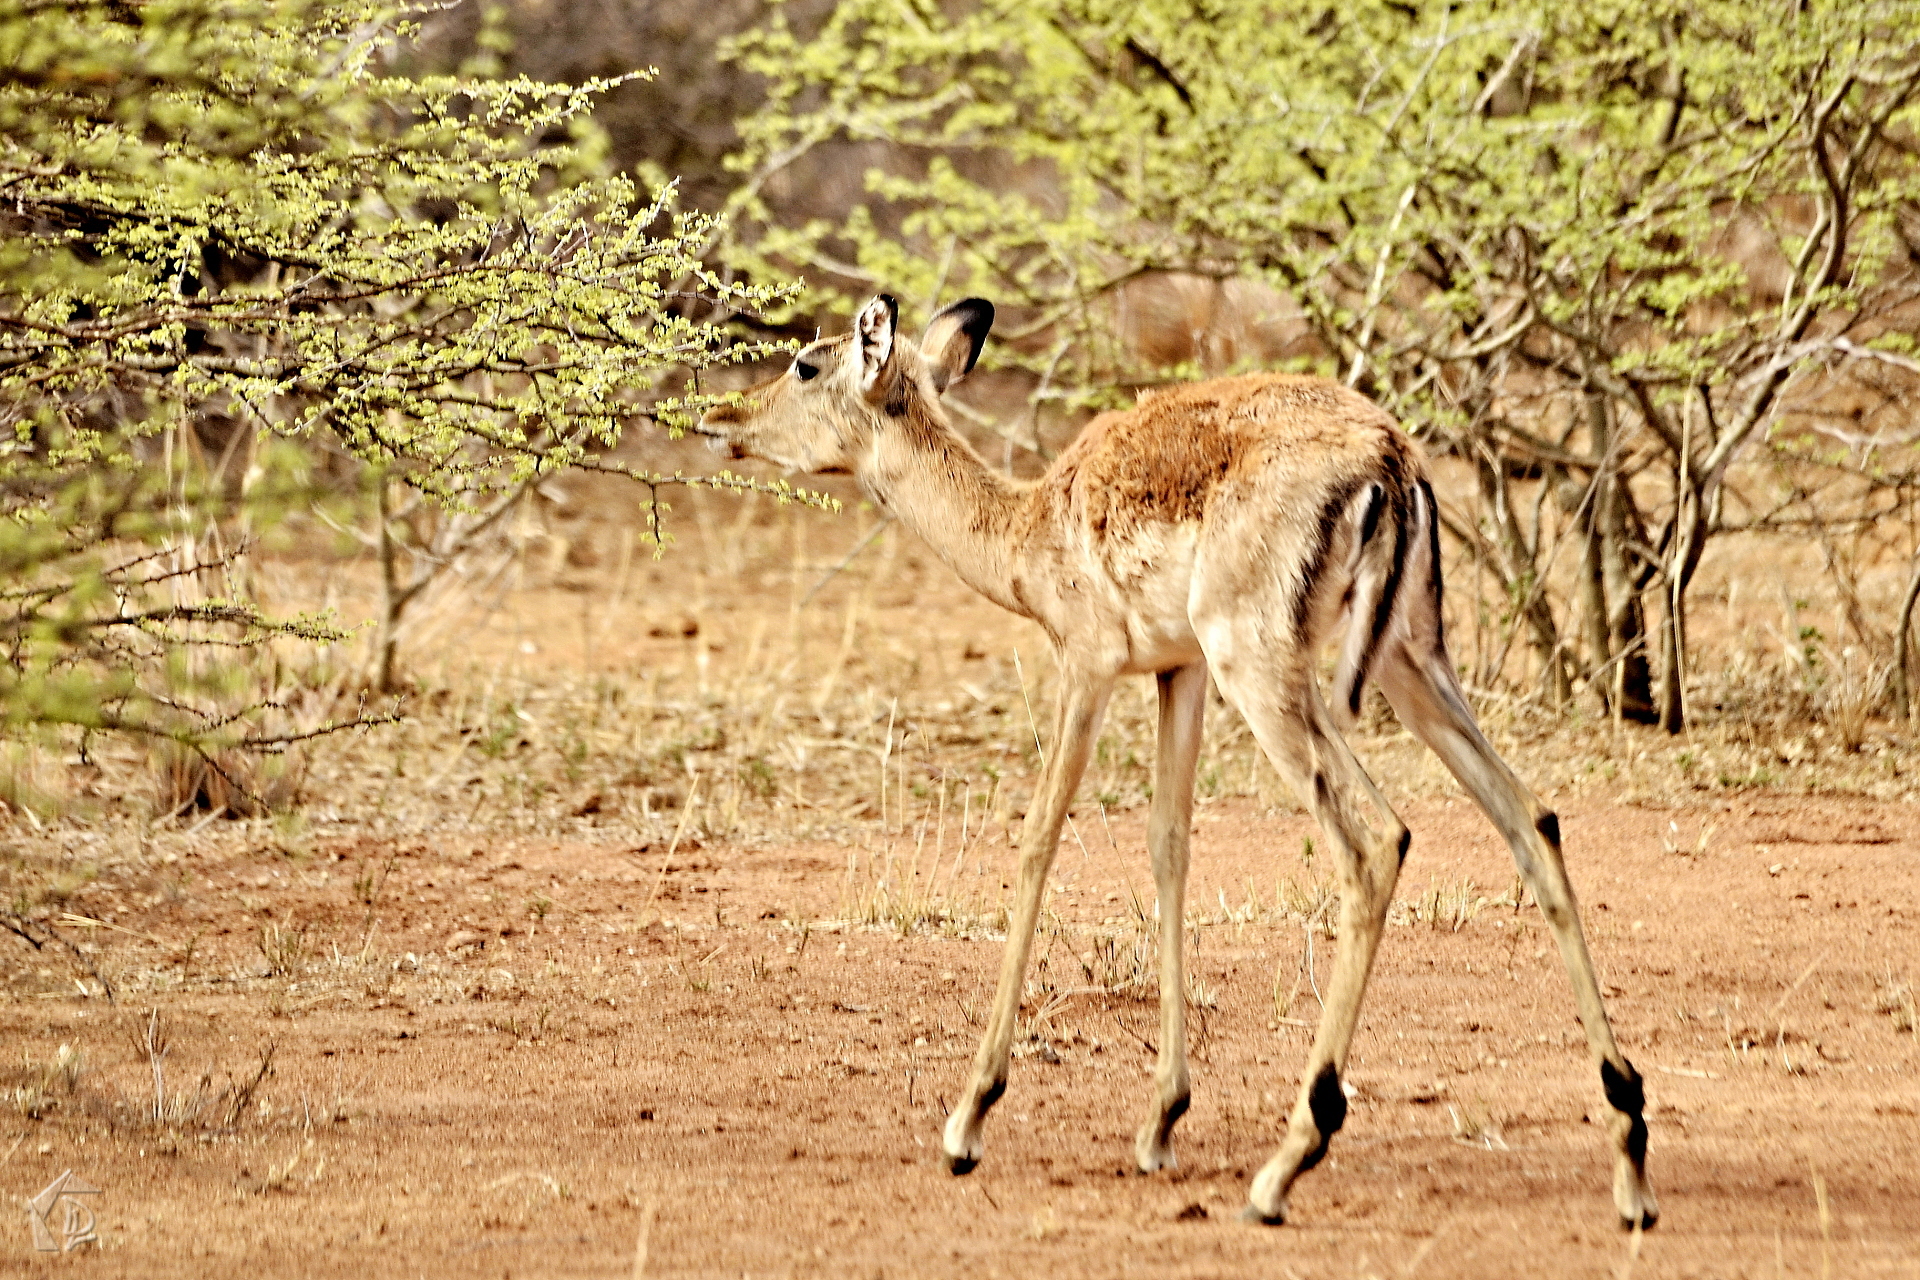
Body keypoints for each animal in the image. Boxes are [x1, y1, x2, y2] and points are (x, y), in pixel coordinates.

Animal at [697, 294, 1658, 1229]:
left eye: (805, 363)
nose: (718, 418)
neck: (1027, 524)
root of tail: (1388, 458)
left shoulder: (1087, 668)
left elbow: (1038, 843)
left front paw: (968, 1120)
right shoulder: (1178, 673)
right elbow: (1169, 847)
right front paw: (1161, 1120)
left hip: (1270, 676)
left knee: (1378, 841)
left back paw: (1284, 1168)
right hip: (1406, 663)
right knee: (1531, 816)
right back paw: (1630, 1157)